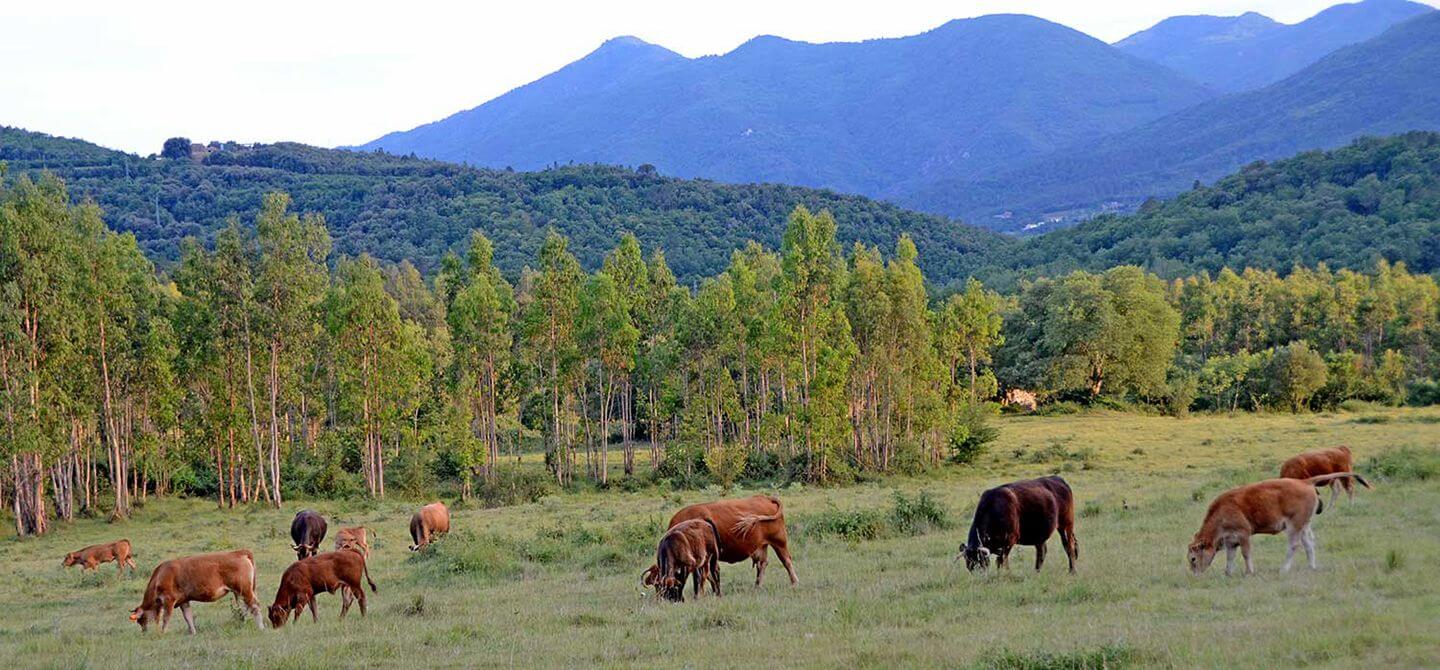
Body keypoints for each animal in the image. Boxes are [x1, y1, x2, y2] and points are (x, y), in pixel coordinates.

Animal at [128, 547, 263, 631]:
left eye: (141, 620)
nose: (144, 632)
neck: (161, 574)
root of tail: (238, 552)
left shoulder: (168, 600)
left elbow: (166, 618)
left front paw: (162, 633)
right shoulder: (184, 601)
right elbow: (188, 617)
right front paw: (193, 632)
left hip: (245, 590)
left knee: (254, 605)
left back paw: (261, 627)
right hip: (240, 592)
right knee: (245, 607)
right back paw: (242, 622)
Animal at [1186, 469, 1365, 573]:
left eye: (1193, 558)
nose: (1195, 575)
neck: (1221, 512)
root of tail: (1304, 482)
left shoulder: (1244, 535)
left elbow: (1246, 554)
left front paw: (1249, 572)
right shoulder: (1231, 541)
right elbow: (1230, 558)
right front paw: (1228, 573)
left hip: (1294, 526)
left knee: (1294, 545)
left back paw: (1284, 569)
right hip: (1304, 525)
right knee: (1308, 543)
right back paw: (1311, 567)